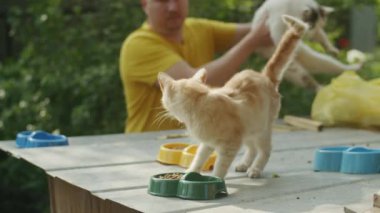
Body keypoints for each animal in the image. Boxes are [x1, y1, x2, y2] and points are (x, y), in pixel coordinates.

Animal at [157, 14, 308, 178]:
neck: (199, 104)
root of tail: (264, 76)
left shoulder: (231, 144)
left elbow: (220, 165)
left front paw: (216, 180)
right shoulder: (208, 143)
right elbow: (199, 157)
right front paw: (190, 173)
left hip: (262, 130)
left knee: (265, 150)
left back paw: (255, 169)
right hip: (249, 129)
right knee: (252, 148)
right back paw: (244, 164)